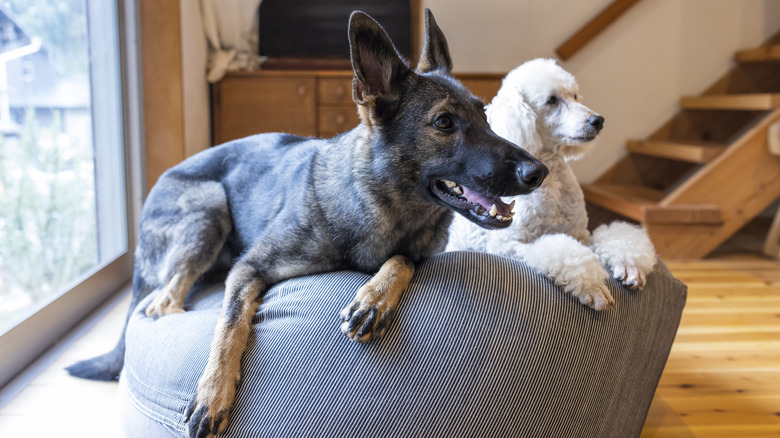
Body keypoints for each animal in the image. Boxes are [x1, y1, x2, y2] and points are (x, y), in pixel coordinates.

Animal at [70, 10, 548, 438]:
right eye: (445, 122)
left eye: (485, 117)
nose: (538, 172)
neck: (381, 202)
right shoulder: (249, 267)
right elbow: (229, 326)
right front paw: (213, 393)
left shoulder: (416, 252)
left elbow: (401, 261)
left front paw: (374, 297)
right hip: (209, 207)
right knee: (162, 302)